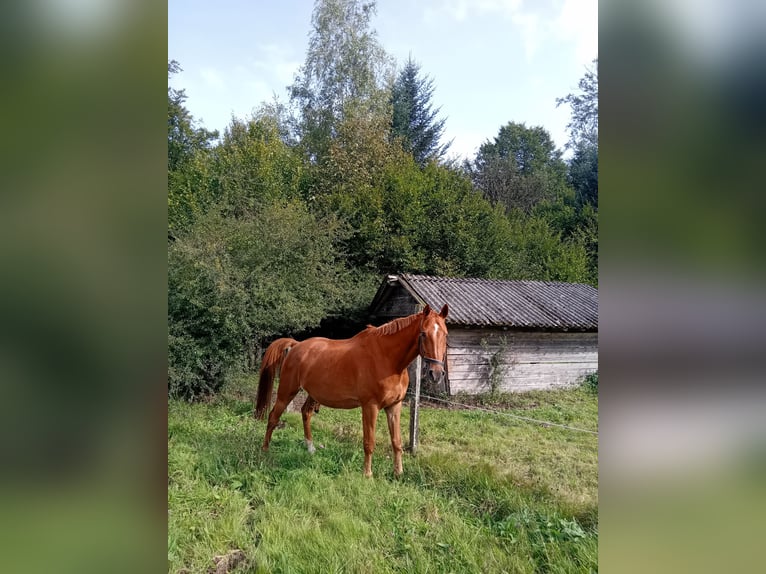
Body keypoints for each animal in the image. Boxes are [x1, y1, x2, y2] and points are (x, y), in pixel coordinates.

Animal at [258, 304, 450, 480]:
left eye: (445, 334)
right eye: (423, 333)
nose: (436, 373)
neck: (387, 359)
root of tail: (296, 345)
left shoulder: (394, 406)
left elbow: (396, 442)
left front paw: (398, 473)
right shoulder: (370, 407)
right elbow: (369, 442)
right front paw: (367, 474)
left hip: (312, 393)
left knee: (305, 413)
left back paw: (310, 448)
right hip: (286, 392)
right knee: (273, 417)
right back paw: (265, 450)